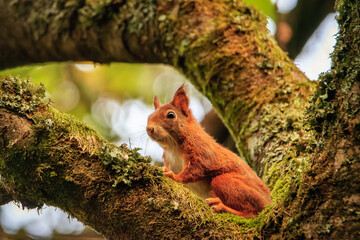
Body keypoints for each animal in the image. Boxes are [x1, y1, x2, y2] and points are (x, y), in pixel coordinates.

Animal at [146, 85, 270, 218]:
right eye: (149, 117)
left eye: (170, 115)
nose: (149, 129)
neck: (172, 147)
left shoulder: (202, 148)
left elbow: (199, 167)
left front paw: (174, 176)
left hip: (228, 182)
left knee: (252, 214)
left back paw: (221, 206)